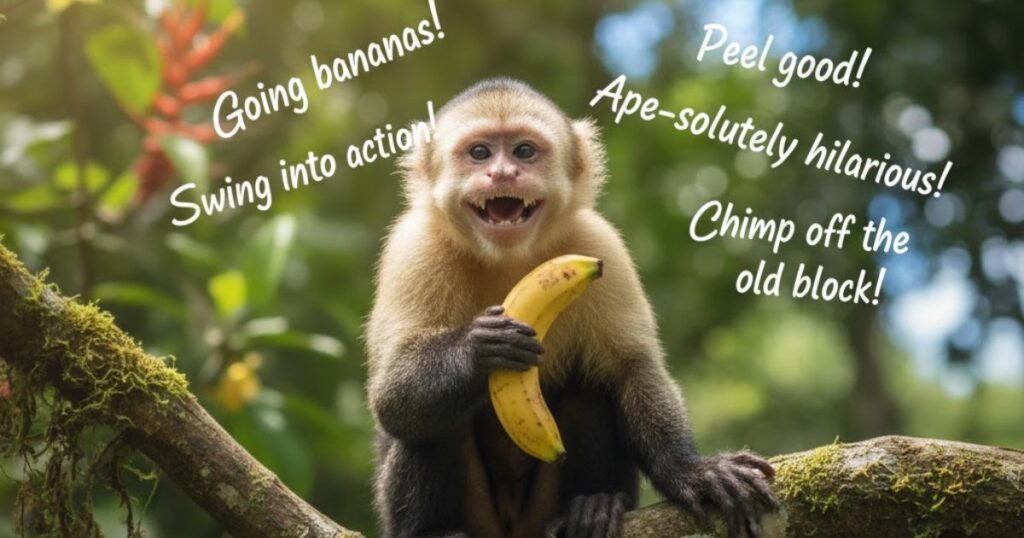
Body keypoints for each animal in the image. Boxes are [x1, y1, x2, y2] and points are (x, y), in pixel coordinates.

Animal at [365, 78, 778, 538]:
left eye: (524, 151)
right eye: (480, 153)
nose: (503, 173)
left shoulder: (599, 245)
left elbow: (632, 368)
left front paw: (691, 471)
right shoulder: (415, 248)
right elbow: (392, 398)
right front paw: (480, 348)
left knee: (592, 384)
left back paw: (593, 505)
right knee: (430, 423)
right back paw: (432, 530)